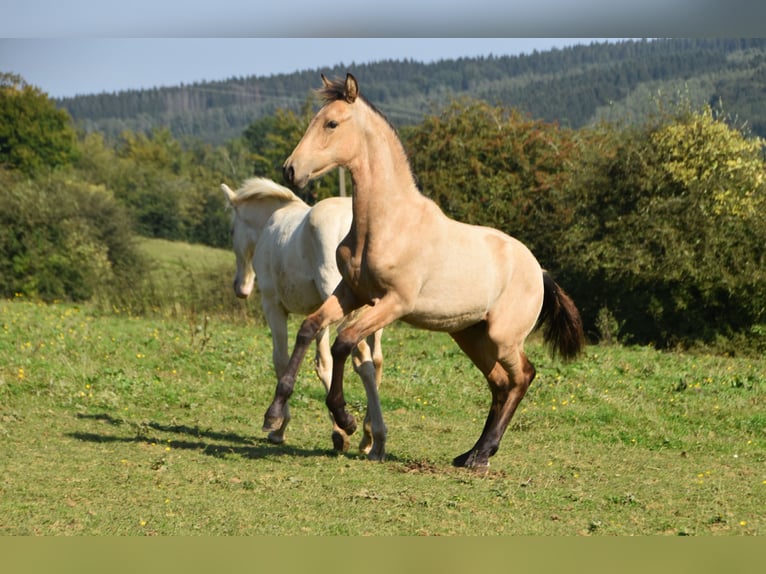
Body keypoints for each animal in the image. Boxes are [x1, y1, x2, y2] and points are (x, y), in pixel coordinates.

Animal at [224, 178, 390, 462]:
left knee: (362, 361)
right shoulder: (319, 311)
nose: (240, 287)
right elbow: (322, 362)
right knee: (375, 361)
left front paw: (279, 426)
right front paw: (341, 429)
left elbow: (283, 360)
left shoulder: (273, 306)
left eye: (233, 230)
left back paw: (371, 435)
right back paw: (369, 437)